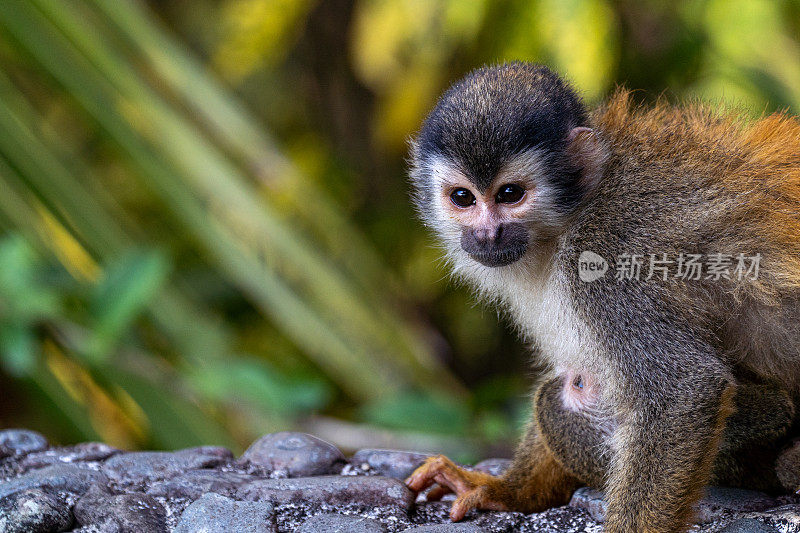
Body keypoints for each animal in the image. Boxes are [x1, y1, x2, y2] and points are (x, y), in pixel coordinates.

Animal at [406, 63, 800, 532]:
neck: (569, 222)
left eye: (509, 194)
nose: (488, 234)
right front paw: (506, 491)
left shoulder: (606, 257)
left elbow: (683, 391)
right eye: (463, 198)